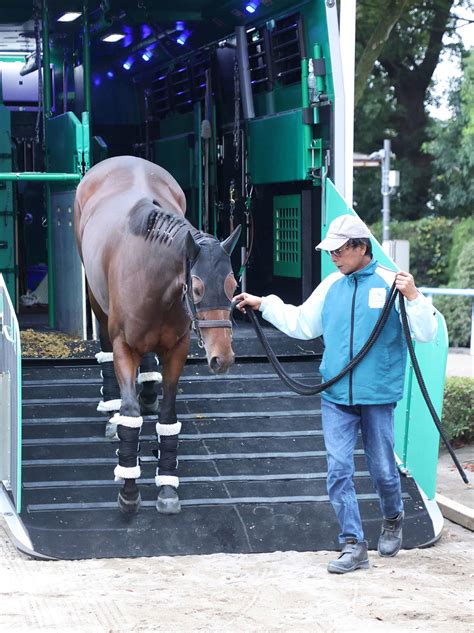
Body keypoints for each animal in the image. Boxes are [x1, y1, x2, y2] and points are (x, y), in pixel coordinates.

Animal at [74, 156, 241, 516]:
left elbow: (167, 416)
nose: (222, 358)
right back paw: (112, 412)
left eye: (234, 286)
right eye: (197, 288)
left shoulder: (176, 349)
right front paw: (129, 490)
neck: (150, 273)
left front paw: (167, 488)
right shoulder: (124, 348)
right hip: (97, 302)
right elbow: (131, 416)